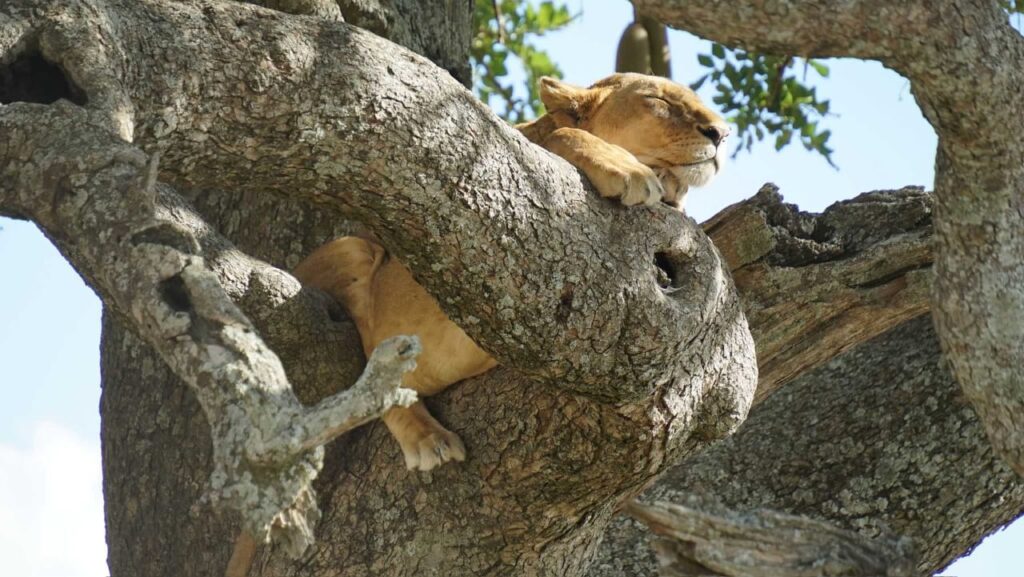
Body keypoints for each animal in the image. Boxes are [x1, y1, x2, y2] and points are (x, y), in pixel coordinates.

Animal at [294, 73, 730, 471]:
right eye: (658, 99)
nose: (722, 133)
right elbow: (565, 133)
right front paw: (629, 171)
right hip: (355, 250)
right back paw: (430, 441)